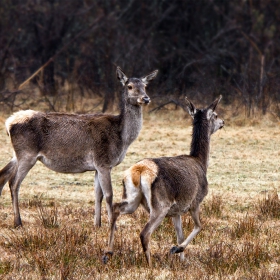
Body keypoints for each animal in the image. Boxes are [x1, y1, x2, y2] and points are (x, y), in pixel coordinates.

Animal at [0, 66, 158, 228]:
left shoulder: (97, 166)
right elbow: (109, 195)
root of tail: (9, 123)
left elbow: (98, 194)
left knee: (3, 175)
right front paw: (112, 225)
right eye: (130, 86)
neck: (122, 139)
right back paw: (18, 222)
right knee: (14, 183)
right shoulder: (104, 161)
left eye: (145, 86)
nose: (145, 98)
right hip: (27, 154)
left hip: (17, 154)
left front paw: (97, 224)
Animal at [103, 95, 225, 266]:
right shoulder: (195, 201)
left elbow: (180, 235)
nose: (223, 122)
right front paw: (176, 249)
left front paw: (182, 260)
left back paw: (108, 253)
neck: (201, 162)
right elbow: (199, 226)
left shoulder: (176, 211)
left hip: (133, 198)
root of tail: (139, 171)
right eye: (215, 114)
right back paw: (149, 264)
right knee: (144, 233)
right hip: (160, 204)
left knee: (116, 209)